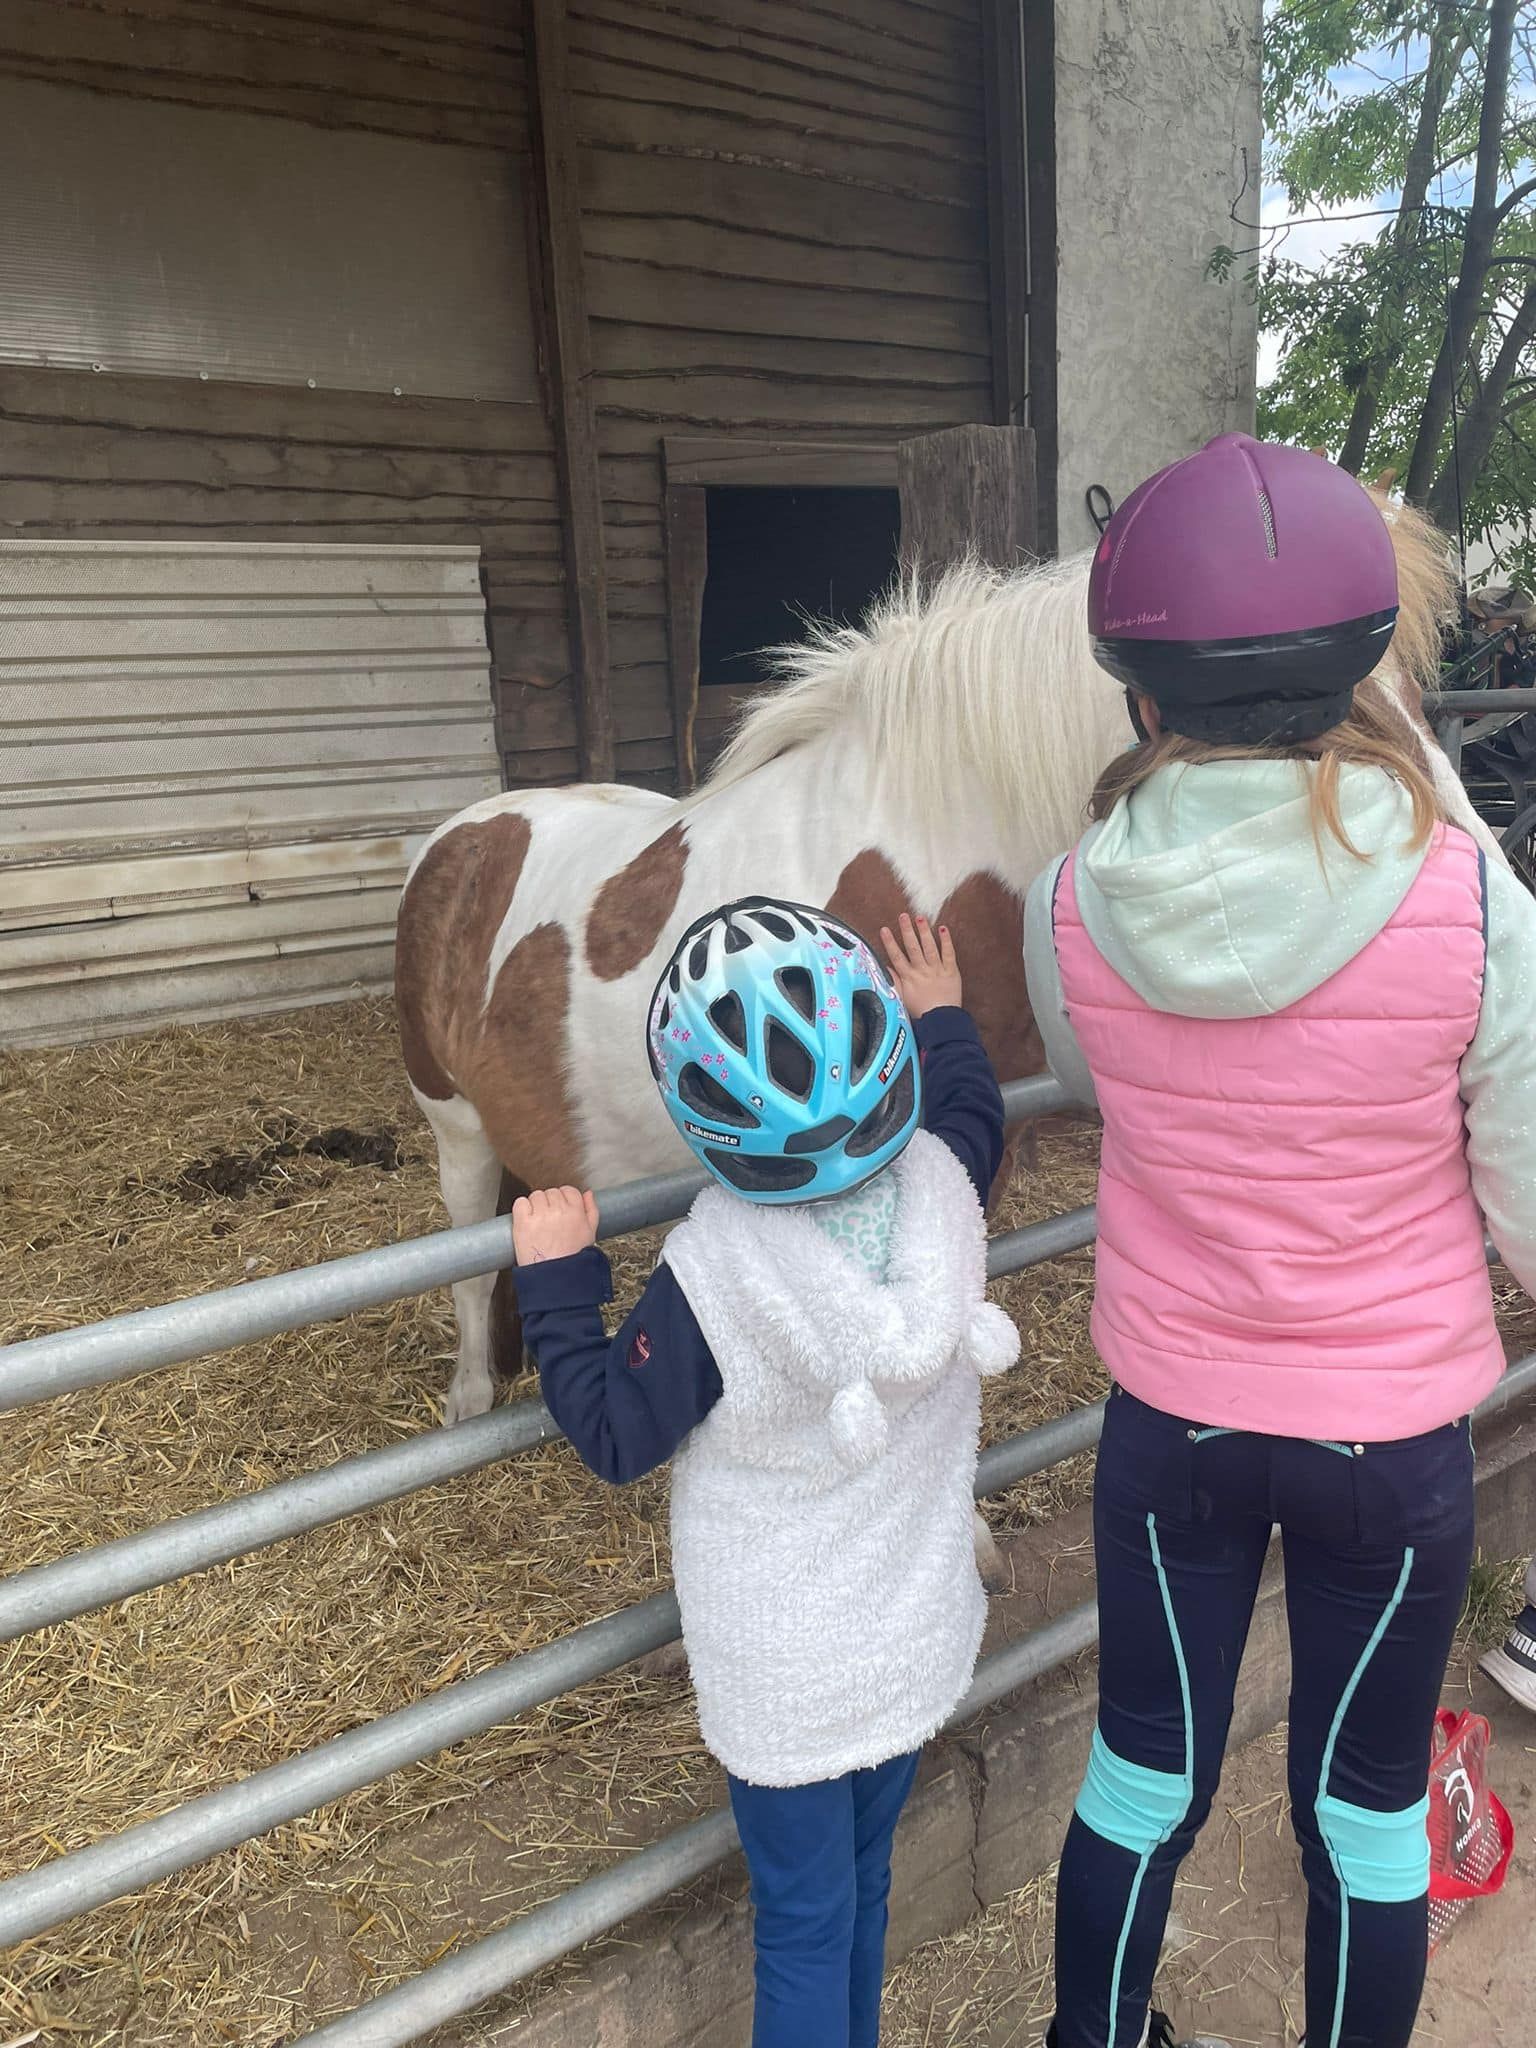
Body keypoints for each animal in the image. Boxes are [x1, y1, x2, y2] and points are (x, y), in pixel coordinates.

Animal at [393, 497, 1490, 1433]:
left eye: (1416, 695)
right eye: (1291, 720)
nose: (1482, 944)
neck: (929, 858)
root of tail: (457, 839)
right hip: (456, 1133)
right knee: (465, 1261)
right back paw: (471, 1397)